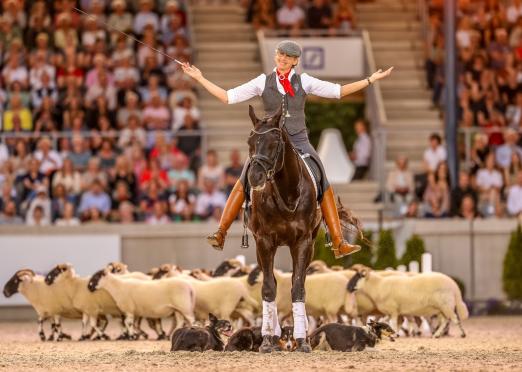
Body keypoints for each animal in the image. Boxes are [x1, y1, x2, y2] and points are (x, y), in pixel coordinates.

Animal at [245, 104, 318, 352]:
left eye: (275, 141)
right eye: (250, 141)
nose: (255, 177)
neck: (287, 193)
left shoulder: (303, 242)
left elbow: (298, 287)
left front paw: (302, 340)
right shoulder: (264, 241)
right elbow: (268, 287)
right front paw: (268, 339)